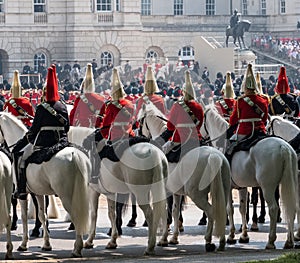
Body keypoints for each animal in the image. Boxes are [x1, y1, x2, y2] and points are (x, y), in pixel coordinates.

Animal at [0, 112, 92, 258]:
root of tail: (74, 155)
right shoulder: (38, 192)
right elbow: (42, 215)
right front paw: (46, 244)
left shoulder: (23, 193)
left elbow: (24, 217)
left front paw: (23, 244)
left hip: (67, 196)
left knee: (76, 215)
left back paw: (77, 248)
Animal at [67, 127, 169, 256]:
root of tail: (155, 152)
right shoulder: (110, 194)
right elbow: (112, 215)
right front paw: (112, 241)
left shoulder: (93, 192)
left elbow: (94, 214)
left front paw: (89, 241)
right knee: (164, 211)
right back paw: (163, 239)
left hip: (140, 194)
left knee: (150, 214)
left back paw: (150, 246)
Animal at [136, 102, 232, 253]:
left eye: (140, 121)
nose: (138, 134)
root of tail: (214, 156)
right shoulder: (176, 191)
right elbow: (175, 212)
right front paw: (174, 238)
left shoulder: (165, 191)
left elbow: (167, 214)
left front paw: (163, 239)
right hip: (223, 190)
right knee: (222, 210)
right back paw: (222, 241)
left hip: (197, 194)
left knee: (211, 211)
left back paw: (208, 241)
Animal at [200, 103, 298, 250]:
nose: (200, 138)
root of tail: (283, 147)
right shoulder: (242, 187)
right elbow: (242, 208)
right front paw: (244, 236)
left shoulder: (227, 186)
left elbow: (230, 209)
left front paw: (231, 236)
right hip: (288, 182)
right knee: (290, 206)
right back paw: (289, 241)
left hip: (268, 187)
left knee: (274, 208)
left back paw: (271, 241)